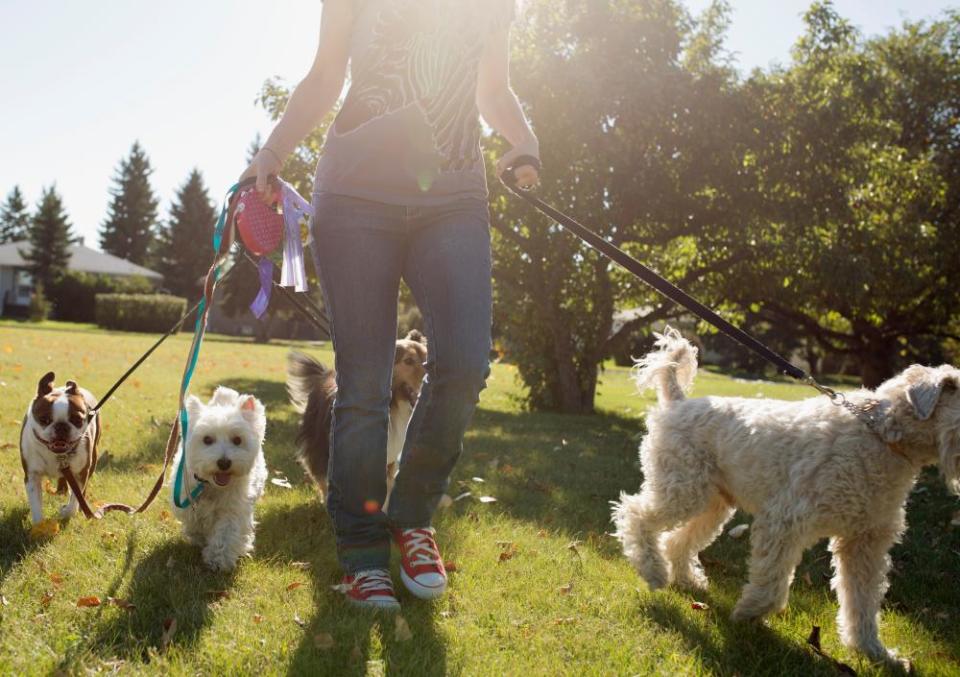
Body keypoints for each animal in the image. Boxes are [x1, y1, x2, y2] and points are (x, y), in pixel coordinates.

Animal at [19, 370, 101, 524]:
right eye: (44, 420)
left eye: (77, 420)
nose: (61, 426)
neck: (57, 454)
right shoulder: (32, 475)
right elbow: (36, 503)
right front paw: (39, 525)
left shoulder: (80, 474)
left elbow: (75, 498)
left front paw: (67, 512)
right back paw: (61, 490)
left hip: (93, 457)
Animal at [172, 386, 266, 572]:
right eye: (207, 439)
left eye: (237, 440)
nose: (224, 462)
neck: (212, 485)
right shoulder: (188, 501)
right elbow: (194, 523)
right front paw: (199, 538)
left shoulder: (233, 509)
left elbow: (226, 533)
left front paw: (218, 560)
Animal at [284, 328, 428, 502]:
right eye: (408, 361)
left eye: (428, 359)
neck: (392, 405)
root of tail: (325, 374)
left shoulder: (390, 460)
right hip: (318, 441)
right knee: (319, 472)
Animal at [616, 328, 960, 664]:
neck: (882, 435)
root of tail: (678, 402)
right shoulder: (784, 521)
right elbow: (772, 582)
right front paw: (749, 614)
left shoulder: (864, 543)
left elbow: (862, 602)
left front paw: (873, 651)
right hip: (682, 491)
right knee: (634, 514)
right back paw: (654, 572)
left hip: (712, 504)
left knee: (676, 541)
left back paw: (686, 579)